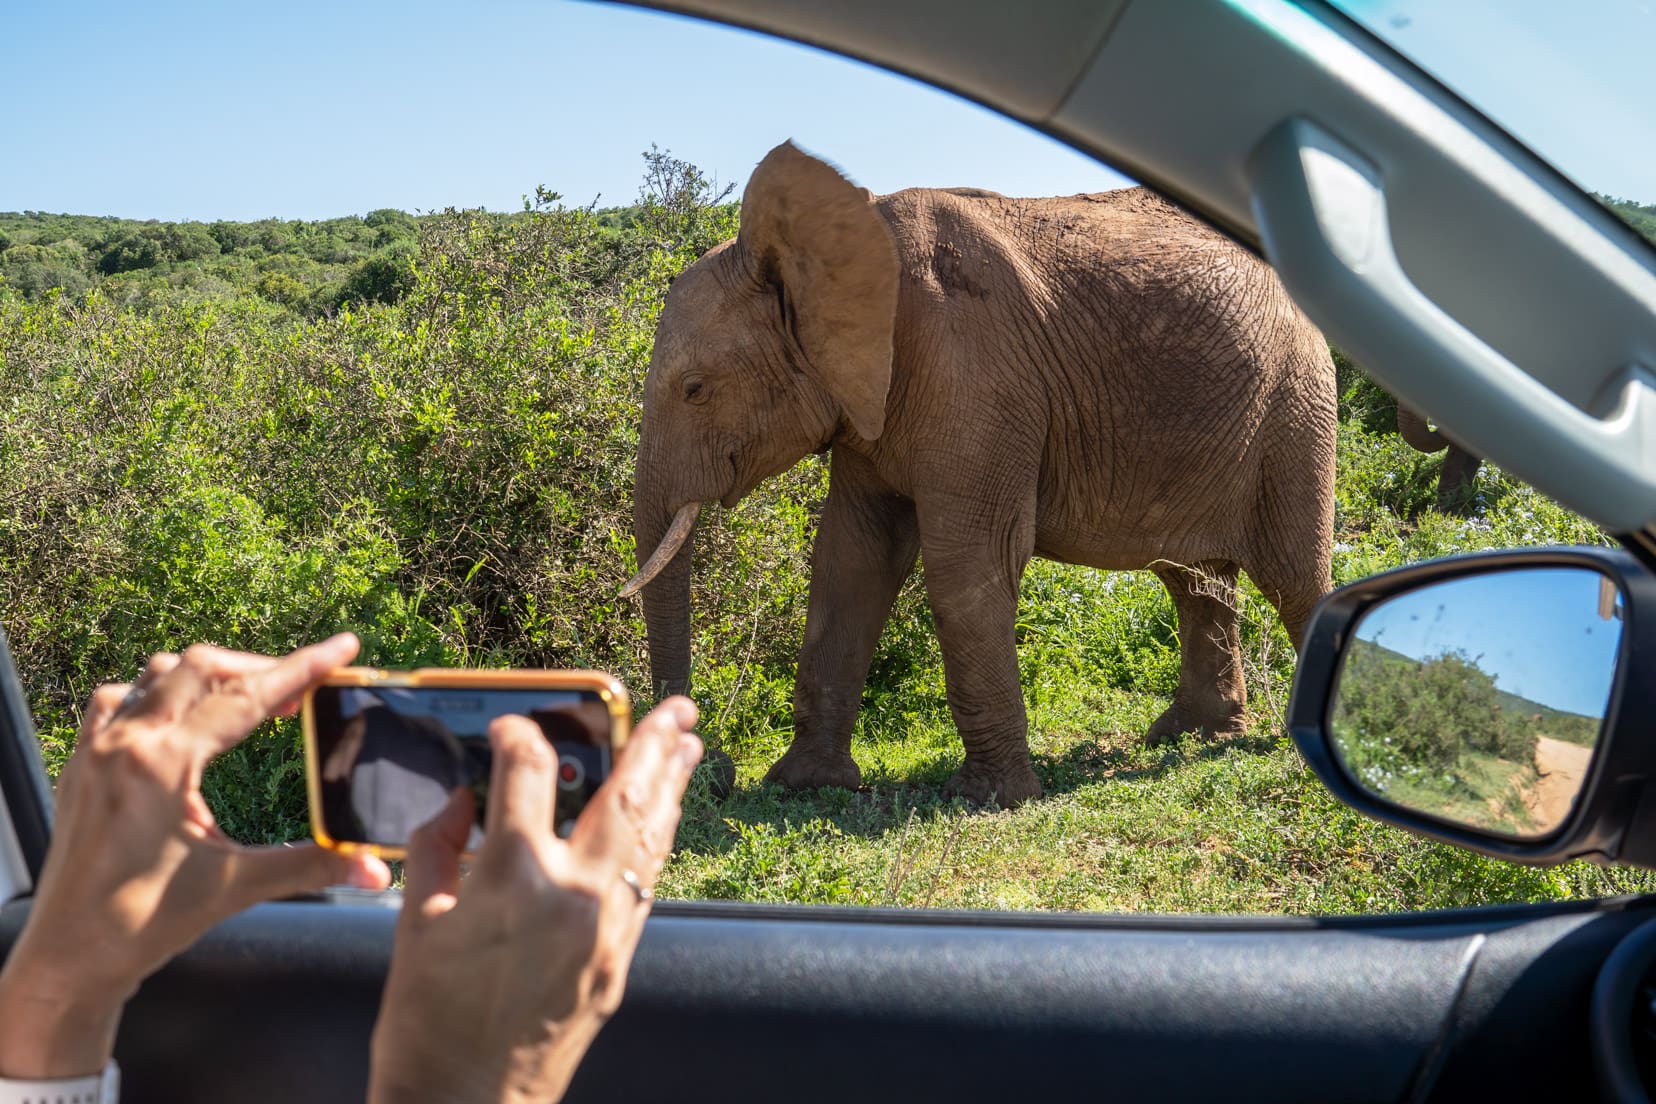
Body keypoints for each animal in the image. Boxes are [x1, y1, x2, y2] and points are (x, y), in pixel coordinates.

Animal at [619, 142, 1331, 807]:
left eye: (695, 389)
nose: (712, 771)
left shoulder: (971, 370)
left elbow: (966, 561)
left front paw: (990, 798)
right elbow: (852, 558)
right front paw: (805, 785)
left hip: (1297, 402)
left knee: (1292, 575)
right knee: (1193, 580)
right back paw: (1191, 736)